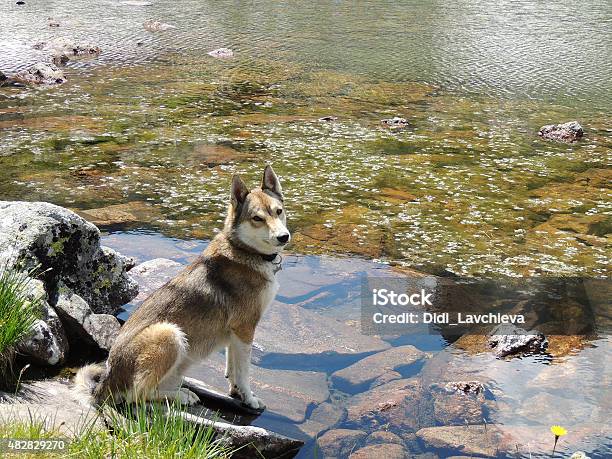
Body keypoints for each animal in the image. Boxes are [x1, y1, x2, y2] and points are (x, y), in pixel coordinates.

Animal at [73, 165, 290, 410]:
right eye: (257, 218)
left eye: (279, 211)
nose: (284, 237)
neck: (245, 250)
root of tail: (105, 385)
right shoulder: (245, 328)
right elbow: (244, 372)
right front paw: (250, 399)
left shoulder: (235, 333)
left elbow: (232, 367)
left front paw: (236, 392)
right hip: (170, 334)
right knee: (137, 394)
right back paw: (181, 396)